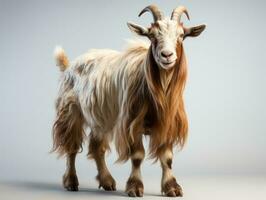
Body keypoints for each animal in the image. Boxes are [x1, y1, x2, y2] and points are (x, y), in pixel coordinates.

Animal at [52, 4, 206, 197]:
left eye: (181, 35)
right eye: (152, 36)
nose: (167, 55)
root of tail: (68, 66)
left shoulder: (167, 124)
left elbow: (167, 158)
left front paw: (172, 187)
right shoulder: (132, 123)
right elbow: (137, 156)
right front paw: (135, 187)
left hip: (100, 119)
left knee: (97, 148)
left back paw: (107, 181)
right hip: (71, 112)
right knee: (71, 146)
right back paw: (72, 182)